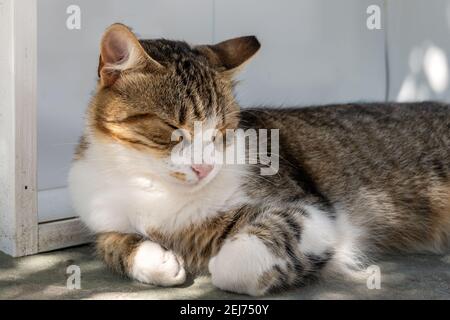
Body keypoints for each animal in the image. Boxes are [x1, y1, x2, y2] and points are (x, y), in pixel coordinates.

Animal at [67, 23, 450, 296]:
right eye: (173, 129)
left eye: (221, 129)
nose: (204, 167)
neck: (146, 181)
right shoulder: (100, 214)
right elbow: (110, 243)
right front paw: (157, 258)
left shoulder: (312, 211)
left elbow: (236, 260)